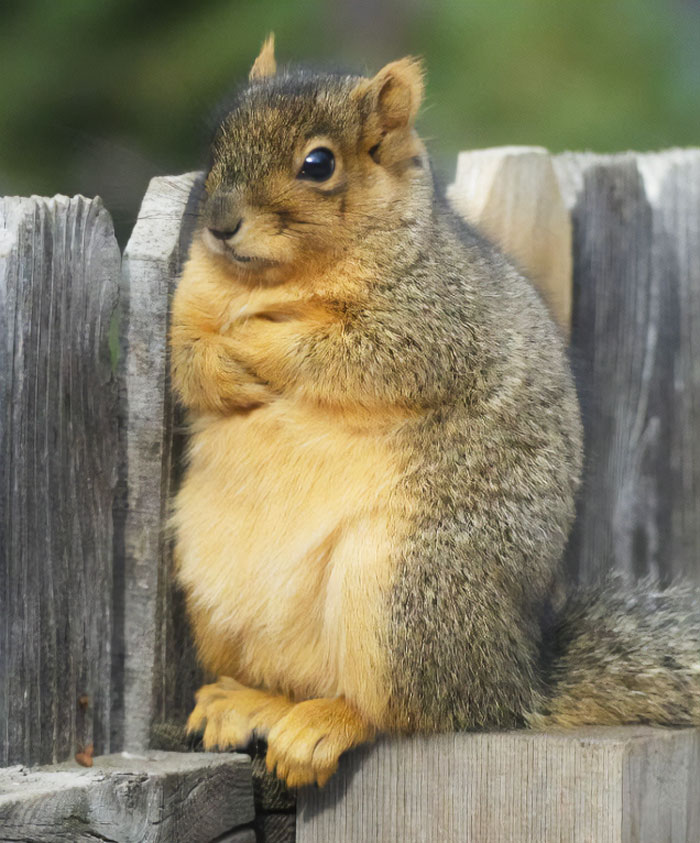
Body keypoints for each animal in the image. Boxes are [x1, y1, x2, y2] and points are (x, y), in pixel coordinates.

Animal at [168, 34, 700, 792]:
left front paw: (257, 340)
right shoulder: (188, 302)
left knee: (404, 711)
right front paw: (222, 364)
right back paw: (250, 701)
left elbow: (352, 353)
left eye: (318, 164)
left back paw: (324, 725)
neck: (274, 280)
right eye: (216, 140)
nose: (218, 224)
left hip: (404, 592)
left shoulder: (436, 319)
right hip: (214, 591)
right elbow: (186, 360)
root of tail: (516, 680)